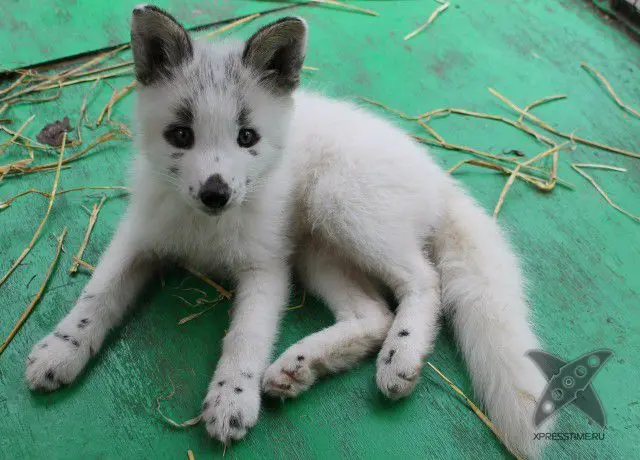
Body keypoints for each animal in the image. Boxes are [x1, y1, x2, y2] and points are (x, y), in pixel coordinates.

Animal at [25, 5, 550, 458]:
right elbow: (95, 298)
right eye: (180, 135)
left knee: (424, 281)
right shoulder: (139, 240)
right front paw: (61, 349)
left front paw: (231, 398)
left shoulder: (267, 269)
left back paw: (398, 357)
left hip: (342, 208)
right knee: (372, 313)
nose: (216, 194)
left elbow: (245, 339)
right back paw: (299, 367)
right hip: (316, 252)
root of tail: (438, 178)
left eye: (246, 137)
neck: (204, 232)